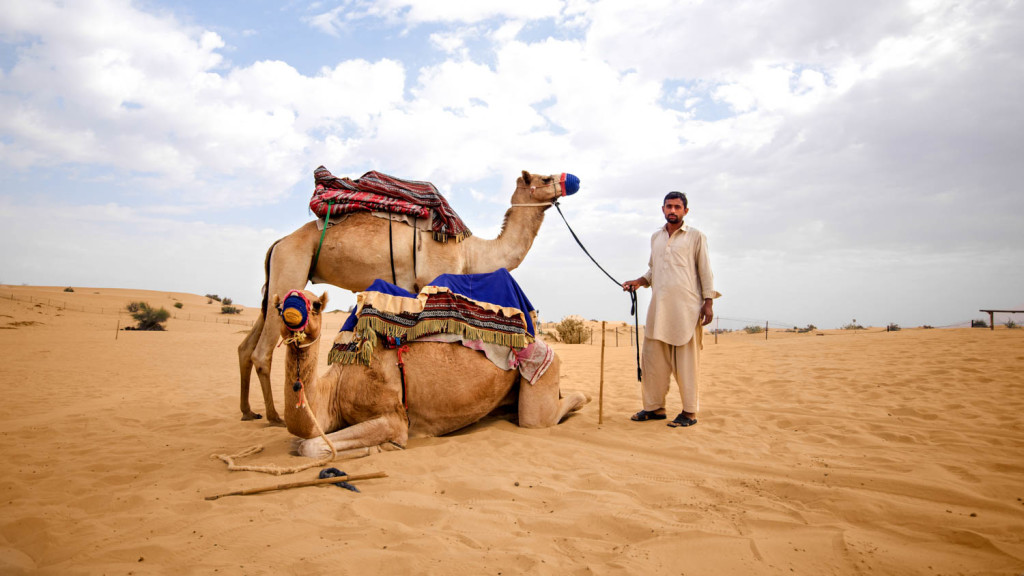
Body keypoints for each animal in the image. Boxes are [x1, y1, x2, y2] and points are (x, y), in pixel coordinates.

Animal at [237, 170, 577, 422]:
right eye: (545, 178)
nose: (572, 179)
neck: (469, 251)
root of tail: (279, 242)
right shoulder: (435, 280)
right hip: (291, 269)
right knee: (262, 352)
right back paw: (274, 417)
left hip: (275, 284)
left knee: (246, 346)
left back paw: (248, 412)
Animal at [274, 291, 593, 457]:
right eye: (278, 306)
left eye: (316, 305)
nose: (291, 313)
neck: (337, 384)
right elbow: (300, 442)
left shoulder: (393, 418)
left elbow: (308, 446)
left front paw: (378, 448)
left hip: (542, 371)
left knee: (538, 418)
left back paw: (585, 399)